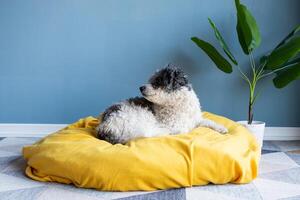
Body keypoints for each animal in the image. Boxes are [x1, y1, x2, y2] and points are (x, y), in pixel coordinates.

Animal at [96, 65, 227, 144]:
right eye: (151, 80)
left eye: (157, 81)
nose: (141, 87)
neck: (177, 104)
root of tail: (105, 127)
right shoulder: (173, 127)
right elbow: (183, 130)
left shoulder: (196, 120)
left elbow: (209, 121)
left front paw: (222, 128)